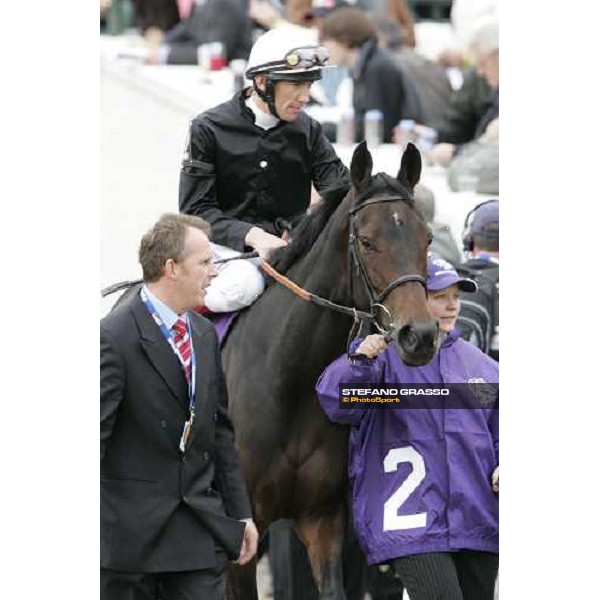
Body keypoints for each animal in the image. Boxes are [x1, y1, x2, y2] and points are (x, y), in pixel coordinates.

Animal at [223, 142, 438, 600]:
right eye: (367, 241)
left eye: (426, 238)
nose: (420, 335)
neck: (292, 380)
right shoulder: (243, 533)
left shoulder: (322, 519)